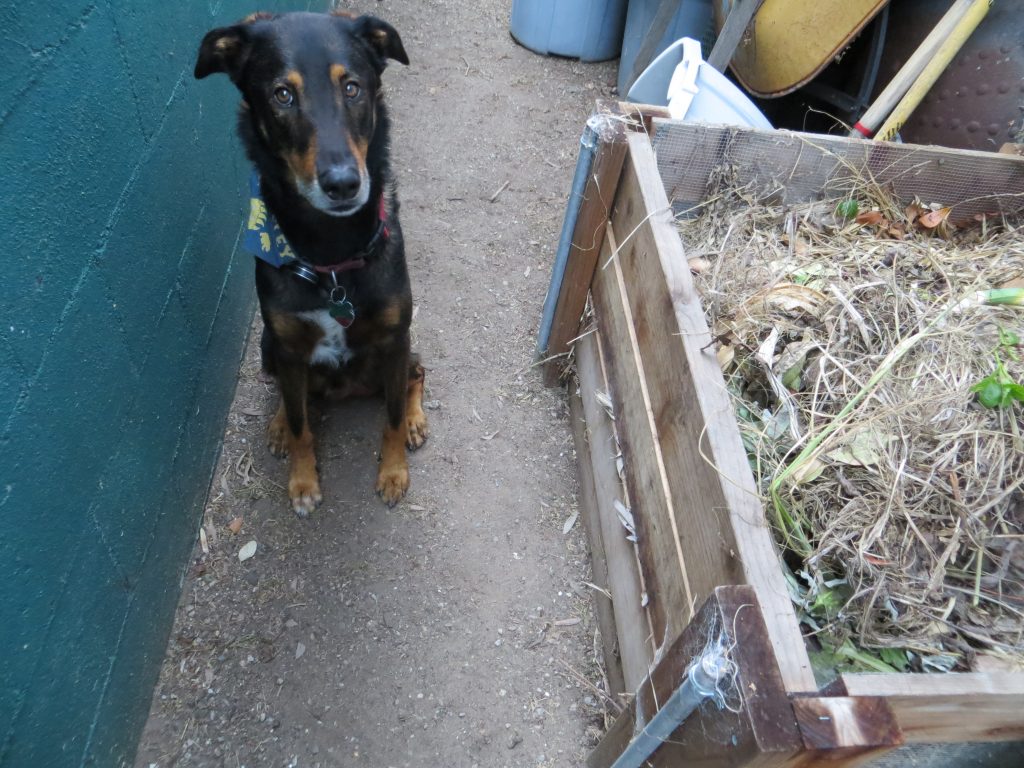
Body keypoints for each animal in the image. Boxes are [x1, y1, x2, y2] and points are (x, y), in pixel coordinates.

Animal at [195, 12, 423, 514]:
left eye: (352, 87)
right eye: (283, 94)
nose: (342, 183)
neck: (331, 255)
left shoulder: (396, 337)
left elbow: (393, 417)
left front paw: (394, 471)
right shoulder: (287, 346)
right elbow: (302, 424)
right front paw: (302, 481)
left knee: (416, 375)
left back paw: (418, 419)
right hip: (268, 347)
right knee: (289, 396)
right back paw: (280, 424)